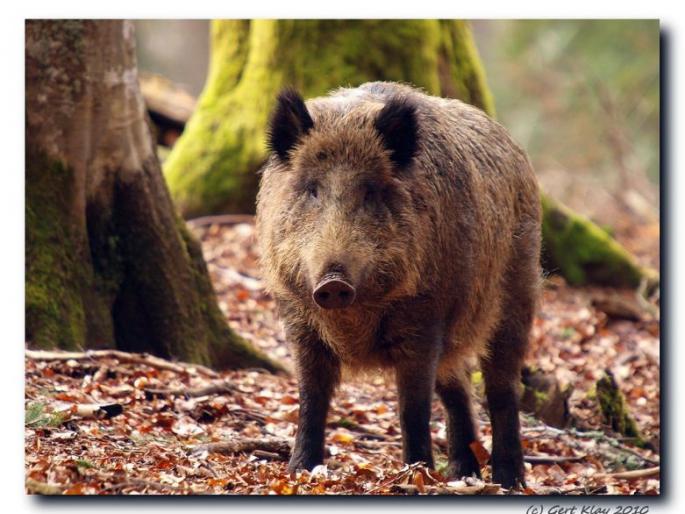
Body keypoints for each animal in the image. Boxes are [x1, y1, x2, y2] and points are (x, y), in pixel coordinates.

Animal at [255, 81, 541, 489]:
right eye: (312, 190)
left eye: (370, 191)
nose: (333, 283)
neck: (353, 317)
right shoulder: (298, 319)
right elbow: (311, 395)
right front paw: (299, 471)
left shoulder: (424, 316)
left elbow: (413, 406)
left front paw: (415, 475)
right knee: (456, 387)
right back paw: (462, 473)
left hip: (517, 293)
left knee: (501, 387)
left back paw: (507, 480)